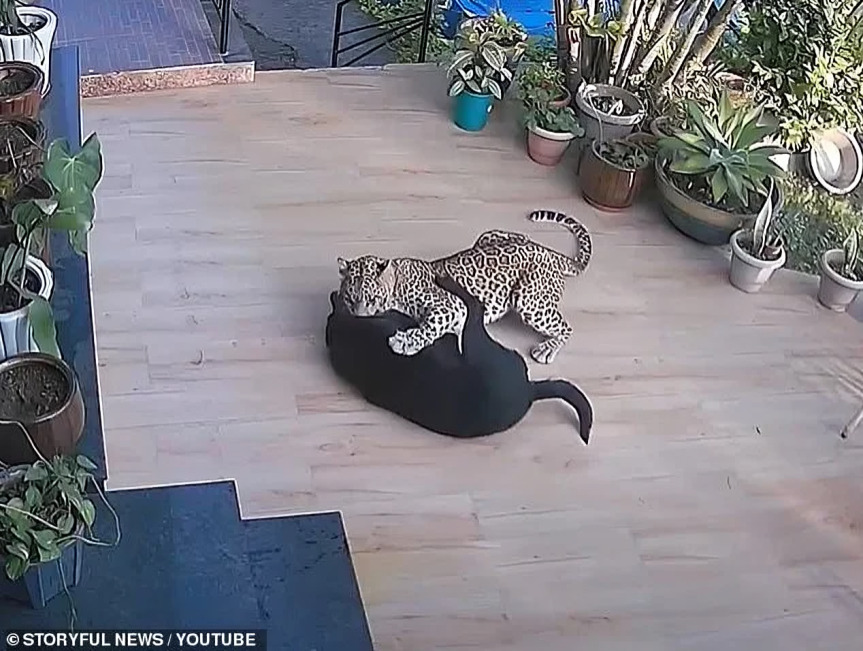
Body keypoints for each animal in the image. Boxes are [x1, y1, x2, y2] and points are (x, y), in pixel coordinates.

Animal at [336, 210, 593, 365]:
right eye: (349, 299)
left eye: (372, 299)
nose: (359, 319)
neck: (397, 280)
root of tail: (548, 252)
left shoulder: (451, 305)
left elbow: (428, 327)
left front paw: (405, 341)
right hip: (486, 237)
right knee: (519, 235)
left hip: (529, 299)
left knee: (566, 328)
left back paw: (546, 349)